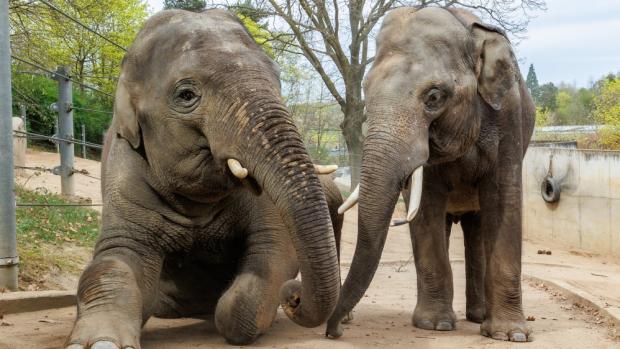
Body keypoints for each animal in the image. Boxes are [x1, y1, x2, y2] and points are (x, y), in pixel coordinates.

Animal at [66, 8, 346, 348]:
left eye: (277, 81)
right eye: (186, 95)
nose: (294, 297)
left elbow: (273, 250)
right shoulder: (123, 170)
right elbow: (116, 259)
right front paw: (99, 342)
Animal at [326, 6, 536, 342]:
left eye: (434, 97)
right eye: (366, 91)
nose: (335, 330)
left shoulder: (508, 115)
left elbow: (504, 200)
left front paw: (512, 335)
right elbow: (425, 208)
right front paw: (434, 325)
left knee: (479, 225)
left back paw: (480, 319)